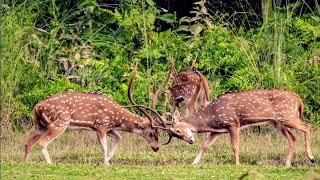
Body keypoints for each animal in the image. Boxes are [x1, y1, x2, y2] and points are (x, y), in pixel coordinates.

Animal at [23, 70, 194, 165]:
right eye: (152, 133)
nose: (156, 148)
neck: (117, 118)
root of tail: (36, 107)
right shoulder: (100, 125)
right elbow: (104, 146)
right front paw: (106, 163)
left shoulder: (108, 127)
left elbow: (119, 139)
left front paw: (107, 160)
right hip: (59, 123)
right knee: (42, 142)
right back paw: (50, 164)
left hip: (40, 125)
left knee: (28, 143)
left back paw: (26, 162)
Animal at [170, 89, 316, 167]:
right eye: (175, 134)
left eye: (177, 130)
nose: (190, 141)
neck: (213, 114)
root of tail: (298, 98)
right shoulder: (218, 130)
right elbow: (205, 145)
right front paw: (194, 163)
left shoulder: (232, 123)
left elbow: (235, 146)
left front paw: (237, 164)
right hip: (278, 122)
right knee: (293, 138)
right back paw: (287, 164)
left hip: (287, 116)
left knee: (307, 127)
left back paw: (311, 157)